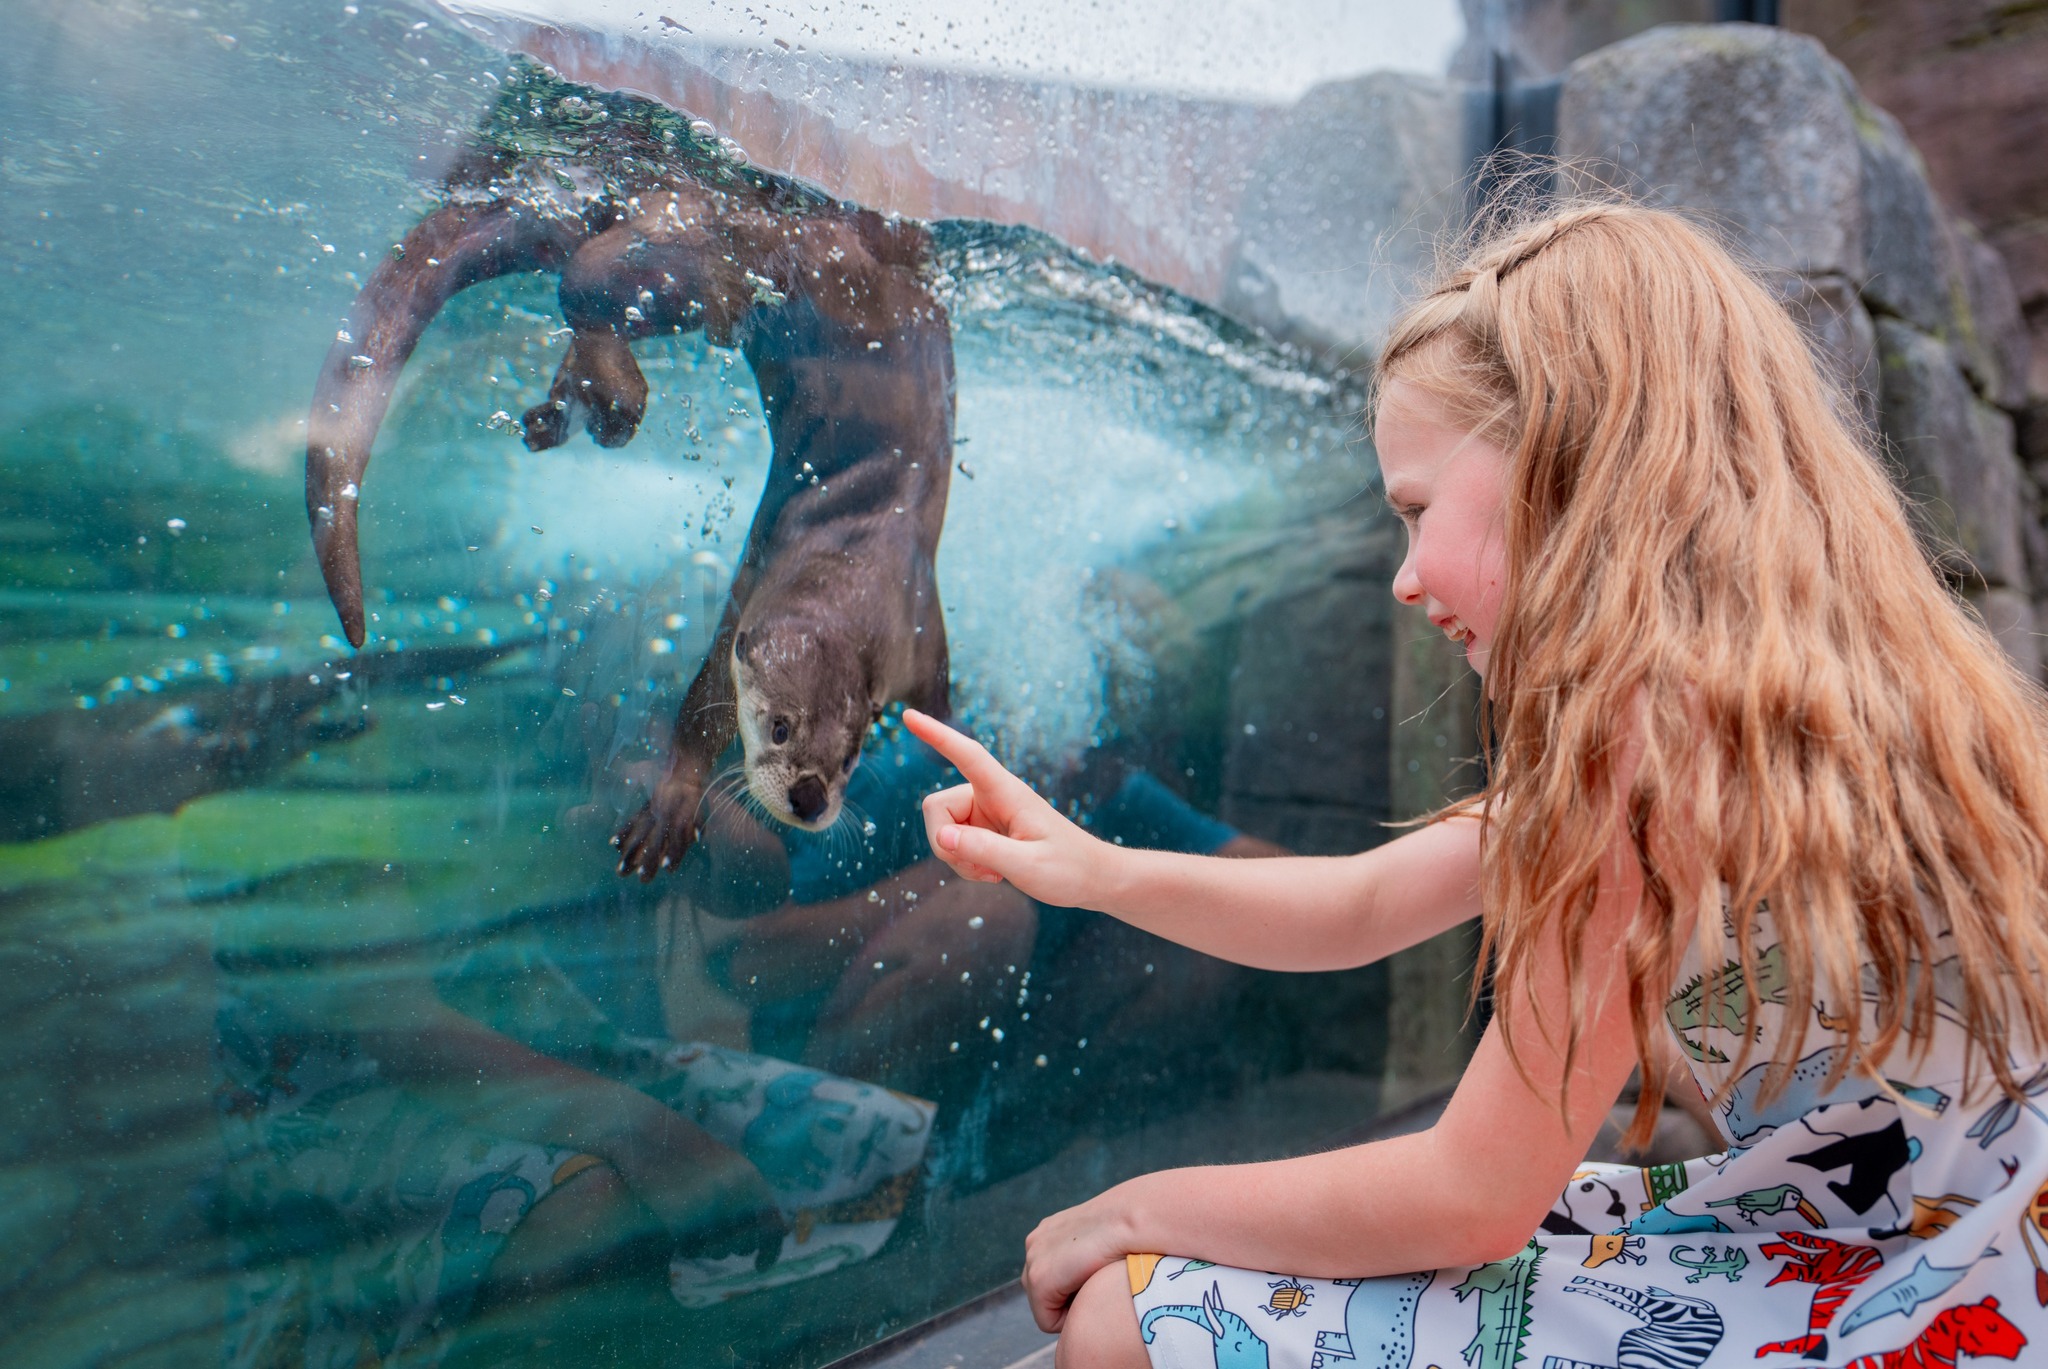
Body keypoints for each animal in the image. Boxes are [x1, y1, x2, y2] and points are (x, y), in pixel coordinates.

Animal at [304, 66, 953, 881]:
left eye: (850, 756)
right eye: (777, 726)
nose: (809, 796)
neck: (863, 540)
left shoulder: (918, 631)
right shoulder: (759, 580)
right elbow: (704, 700)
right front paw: (673, 803)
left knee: (586, 283)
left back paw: (563, 410)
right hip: (707, 259)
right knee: (587, 276)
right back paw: (615, 397)